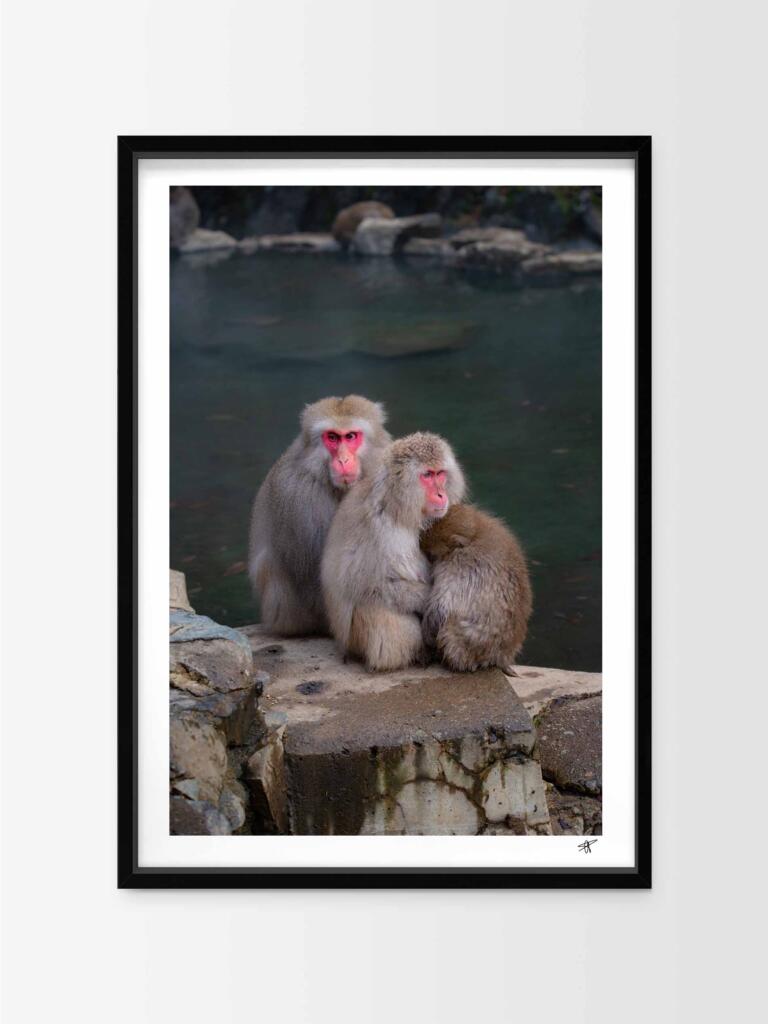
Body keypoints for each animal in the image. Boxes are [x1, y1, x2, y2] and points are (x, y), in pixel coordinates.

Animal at [321, 432, 466, 671]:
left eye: (440, 474)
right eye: (427, 475)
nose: (441, 494)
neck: (396, 506)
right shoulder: (384, 532)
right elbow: (370, 585)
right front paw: (431, 598)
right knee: (378, 609)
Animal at [420, 503, 532, 676]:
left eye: (432, 555)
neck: (475, 535)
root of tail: (502, 657)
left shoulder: (459, 565)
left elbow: (443, 606)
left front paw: (428, 635)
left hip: (463, 648)